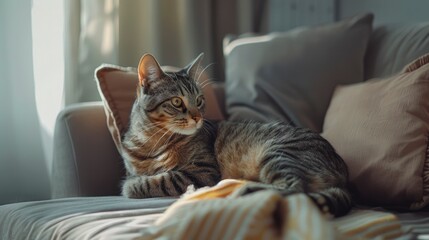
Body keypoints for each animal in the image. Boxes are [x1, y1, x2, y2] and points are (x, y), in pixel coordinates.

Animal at [119, 53, 352, 217]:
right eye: (177, 101)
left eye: (199, 101)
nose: (198, 118)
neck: (152, 143)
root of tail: (344, 176)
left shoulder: (203, 171)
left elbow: (156, 180)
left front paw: (133, 186)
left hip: (279, 153)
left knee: (294, 188)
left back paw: (241, 190)